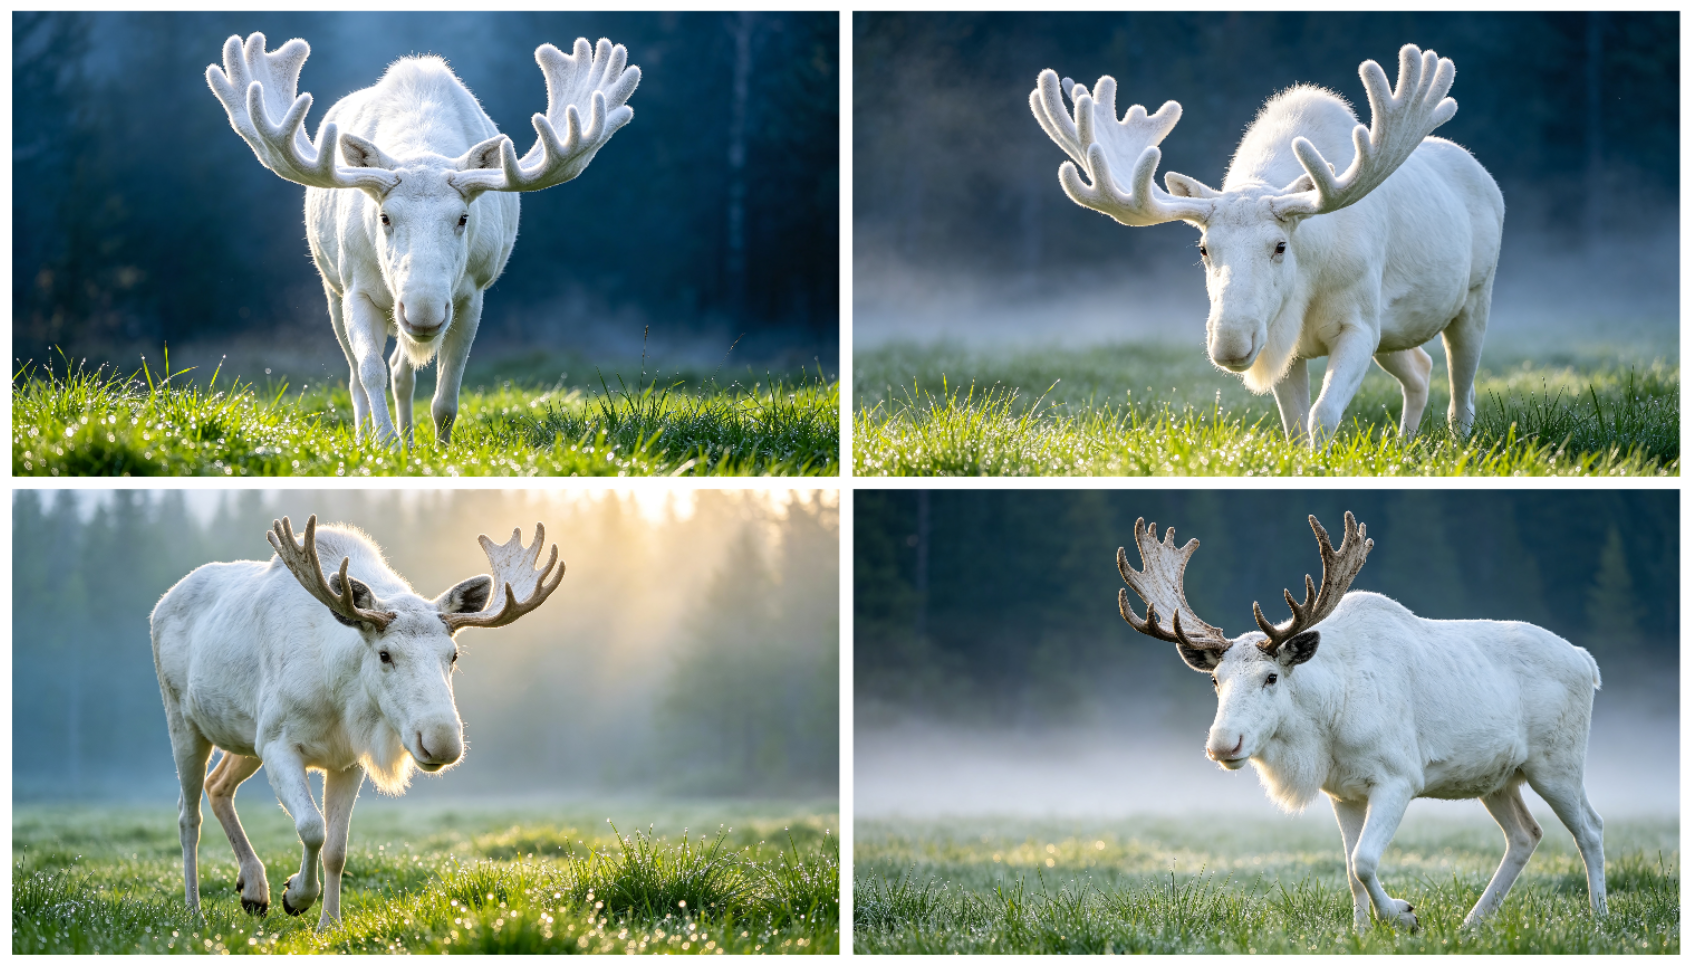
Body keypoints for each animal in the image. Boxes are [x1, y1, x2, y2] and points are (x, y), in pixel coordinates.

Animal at [151, 515, 563, 927]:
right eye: (385, 654)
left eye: (454, 655)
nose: (442, 742)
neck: (338, 694)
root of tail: (160, 604)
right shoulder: (278, 744)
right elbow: (312, 827)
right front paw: (296, 896)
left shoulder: (346, 760)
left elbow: (337, 848)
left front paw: (329, 923)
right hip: (184, 723)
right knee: (188, 816)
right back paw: (194, 910)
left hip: (244, 739)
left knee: (217, 785)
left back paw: (253, 888)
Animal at [207, 33, 639, 445]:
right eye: (384, 216)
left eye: (463, 217)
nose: (424, 312)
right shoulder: (356, 287)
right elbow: (369, 372)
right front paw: (383, 444)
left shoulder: (471, 294)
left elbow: (446, 397)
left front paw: (436, 450)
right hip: (333, 289)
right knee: (357, 375)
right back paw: (370, 435)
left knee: (402, 370)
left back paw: (410, 439)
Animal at [1033, 45, 1505, 447]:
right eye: (1203, 248)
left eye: (1279, 246)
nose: (1230, 342)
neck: (1308, 276)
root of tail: (1488, 179)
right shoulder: (1289, 342)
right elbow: (1294, 427)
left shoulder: (1359, 324)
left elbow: (1322, 416)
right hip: (1395, 331)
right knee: (1421, 370)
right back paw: (1406, 443)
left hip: (1472, 299)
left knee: (1462, 391)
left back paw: (1458, 444)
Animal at [1115, 512, 1605, 931]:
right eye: (1216, 680)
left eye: (1271, 676)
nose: (1222, 743)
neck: (1326, 726)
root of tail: (1587, 661)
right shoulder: (1342, 792)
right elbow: (1351, 871)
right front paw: (1360, 932)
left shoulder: (1399, 778)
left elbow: (1364, 860)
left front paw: (1404, 916)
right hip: (1498, 778)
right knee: (1526, 834)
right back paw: (1472, 922)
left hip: (1557, 764)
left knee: (1590, 828)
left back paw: (1598, 918)